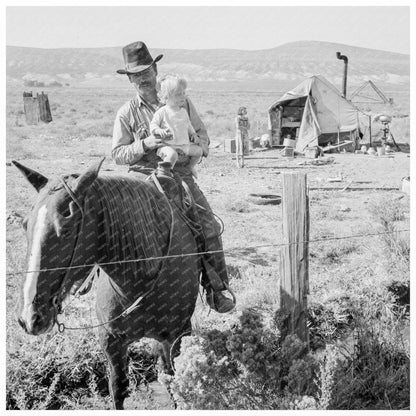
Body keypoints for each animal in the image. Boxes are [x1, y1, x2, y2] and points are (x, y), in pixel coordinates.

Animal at [12, 159, 201, 410]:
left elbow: (176, 385)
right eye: (25, 225)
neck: (137, 282)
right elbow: (117, 388)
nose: (30, 318)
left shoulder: (176, 338)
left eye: (67, 229)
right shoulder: (111, 341)